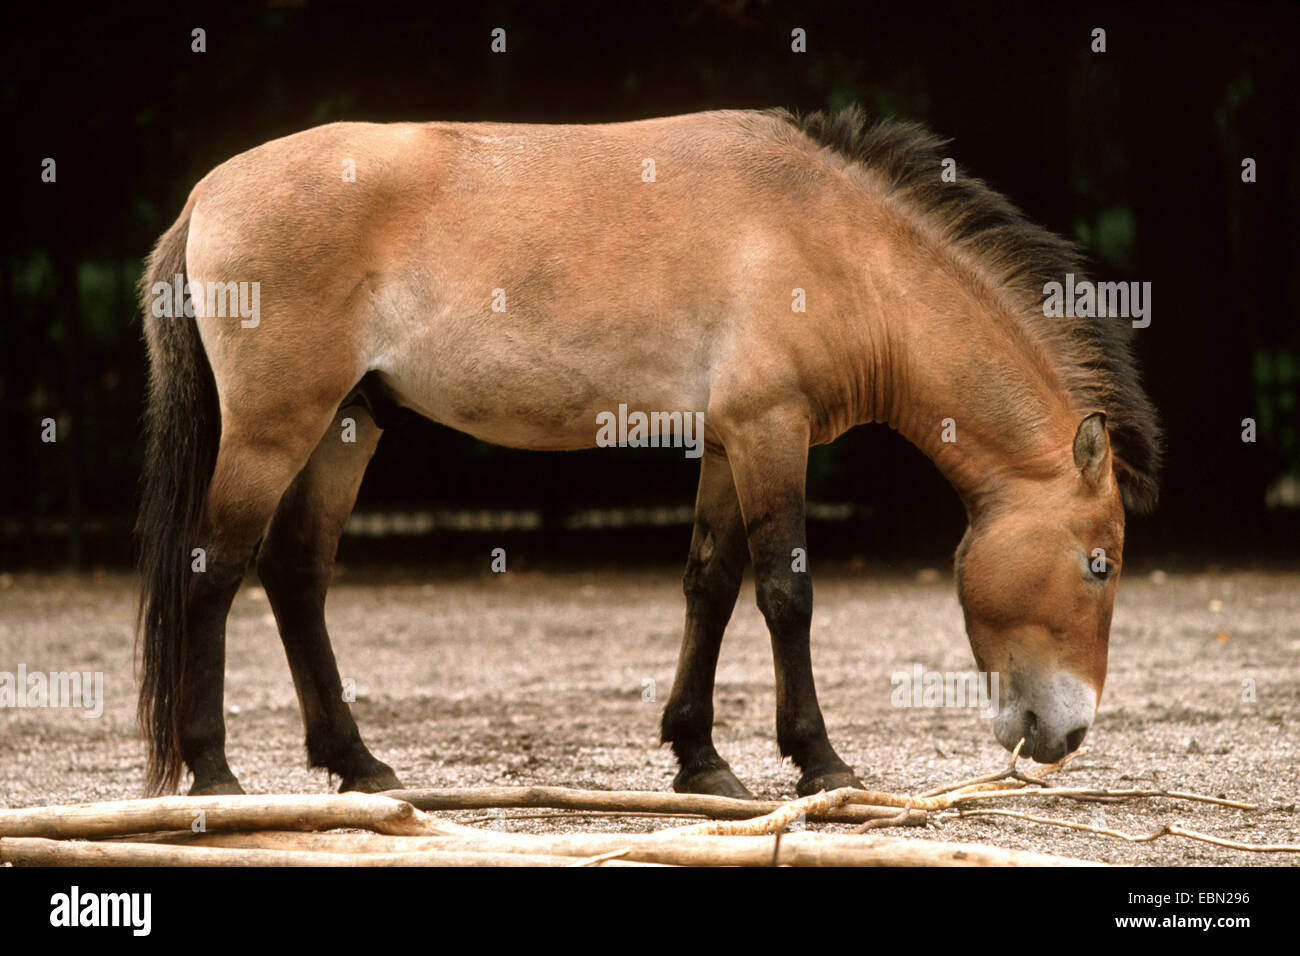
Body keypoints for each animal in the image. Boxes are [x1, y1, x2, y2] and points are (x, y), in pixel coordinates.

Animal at [137, 104, 1164, 801]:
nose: (1068, 734)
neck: (839, 243)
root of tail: (205, 194)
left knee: (294, 574)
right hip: (274, 429)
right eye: (1100, 564)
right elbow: (786, 594)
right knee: (214, 570)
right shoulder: (771, 431)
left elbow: (710, 586)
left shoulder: (730, 442)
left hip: (346, 427)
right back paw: (216, 773)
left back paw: (358, 764)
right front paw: (820, 763)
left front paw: (700, 760)